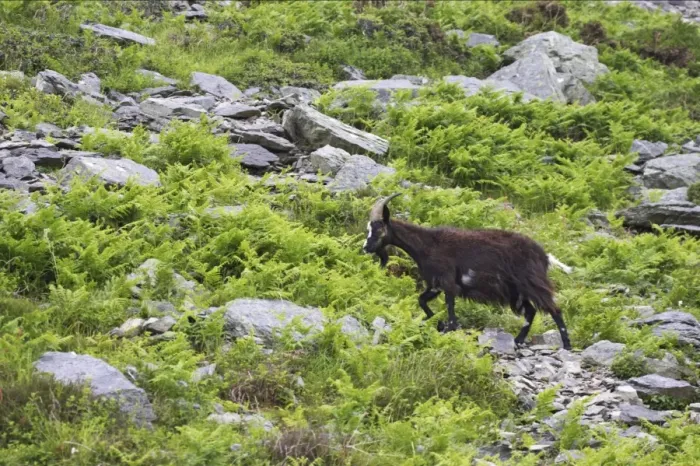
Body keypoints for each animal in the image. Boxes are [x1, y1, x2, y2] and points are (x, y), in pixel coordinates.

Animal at [362, 193, 572, 350]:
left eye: (378, 228)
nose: (365, 248)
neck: (427, 245)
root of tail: (545, 256)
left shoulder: (447, 282)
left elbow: (449, 308)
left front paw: (449, 328)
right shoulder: (435, 285)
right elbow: (421, 300)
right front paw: (438, 323)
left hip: (532, 283)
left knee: (554, 309)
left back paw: (567, 345)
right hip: (516, 292)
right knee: (530, 311)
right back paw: (518, 341)